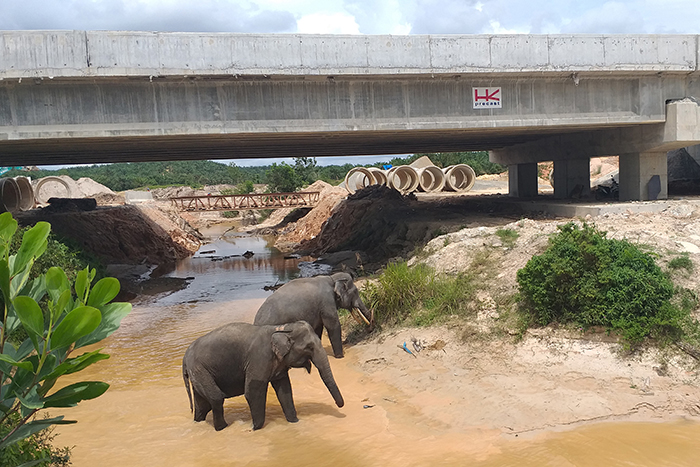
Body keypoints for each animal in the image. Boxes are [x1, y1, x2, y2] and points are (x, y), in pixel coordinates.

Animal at [182, 322, 344, 432]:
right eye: (309, 347)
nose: (340, 406)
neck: (281, 328)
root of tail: (184, 358)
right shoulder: (259, 359)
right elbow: (253, 392)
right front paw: (254, 429)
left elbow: (284, 390)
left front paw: (295, 422)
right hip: (200, 370)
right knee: (216, 398)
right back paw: (223, 428)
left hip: (199, 374)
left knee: (203, 404)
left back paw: (199, 422)